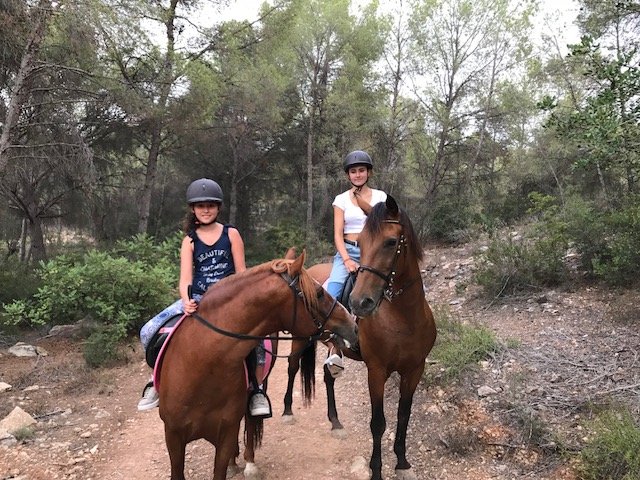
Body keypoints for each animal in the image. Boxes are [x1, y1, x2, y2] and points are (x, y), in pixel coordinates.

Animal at [158, 251, 358, 480]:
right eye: (318, 294)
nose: (353, 324)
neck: (203, 365)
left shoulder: (226, 430)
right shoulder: (173, 436)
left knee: (251, 421)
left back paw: (248, 462)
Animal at [284, 195, 438, 480]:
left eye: (391, 242)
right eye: (361, 243)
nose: (359, 303)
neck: (404, 318)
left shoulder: (414, 369)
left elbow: (404, 415)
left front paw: (402, 463)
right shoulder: (376, 371)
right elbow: (378, 423)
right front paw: (376, 470)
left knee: (327, 376)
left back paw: (335, 422)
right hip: (300, 339)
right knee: (291, 366)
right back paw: (287, 411)